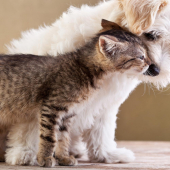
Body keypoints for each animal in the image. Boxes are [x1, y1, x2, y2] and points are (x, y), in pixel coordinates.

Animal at [1, 0, 170, 165]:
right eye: (151, 35)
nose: (156, 70)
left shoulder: (105, 103)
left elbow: (100, 131)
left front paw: (106, 154)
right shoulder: (42, 99)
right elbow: (36, 129)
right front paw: (26, 153)